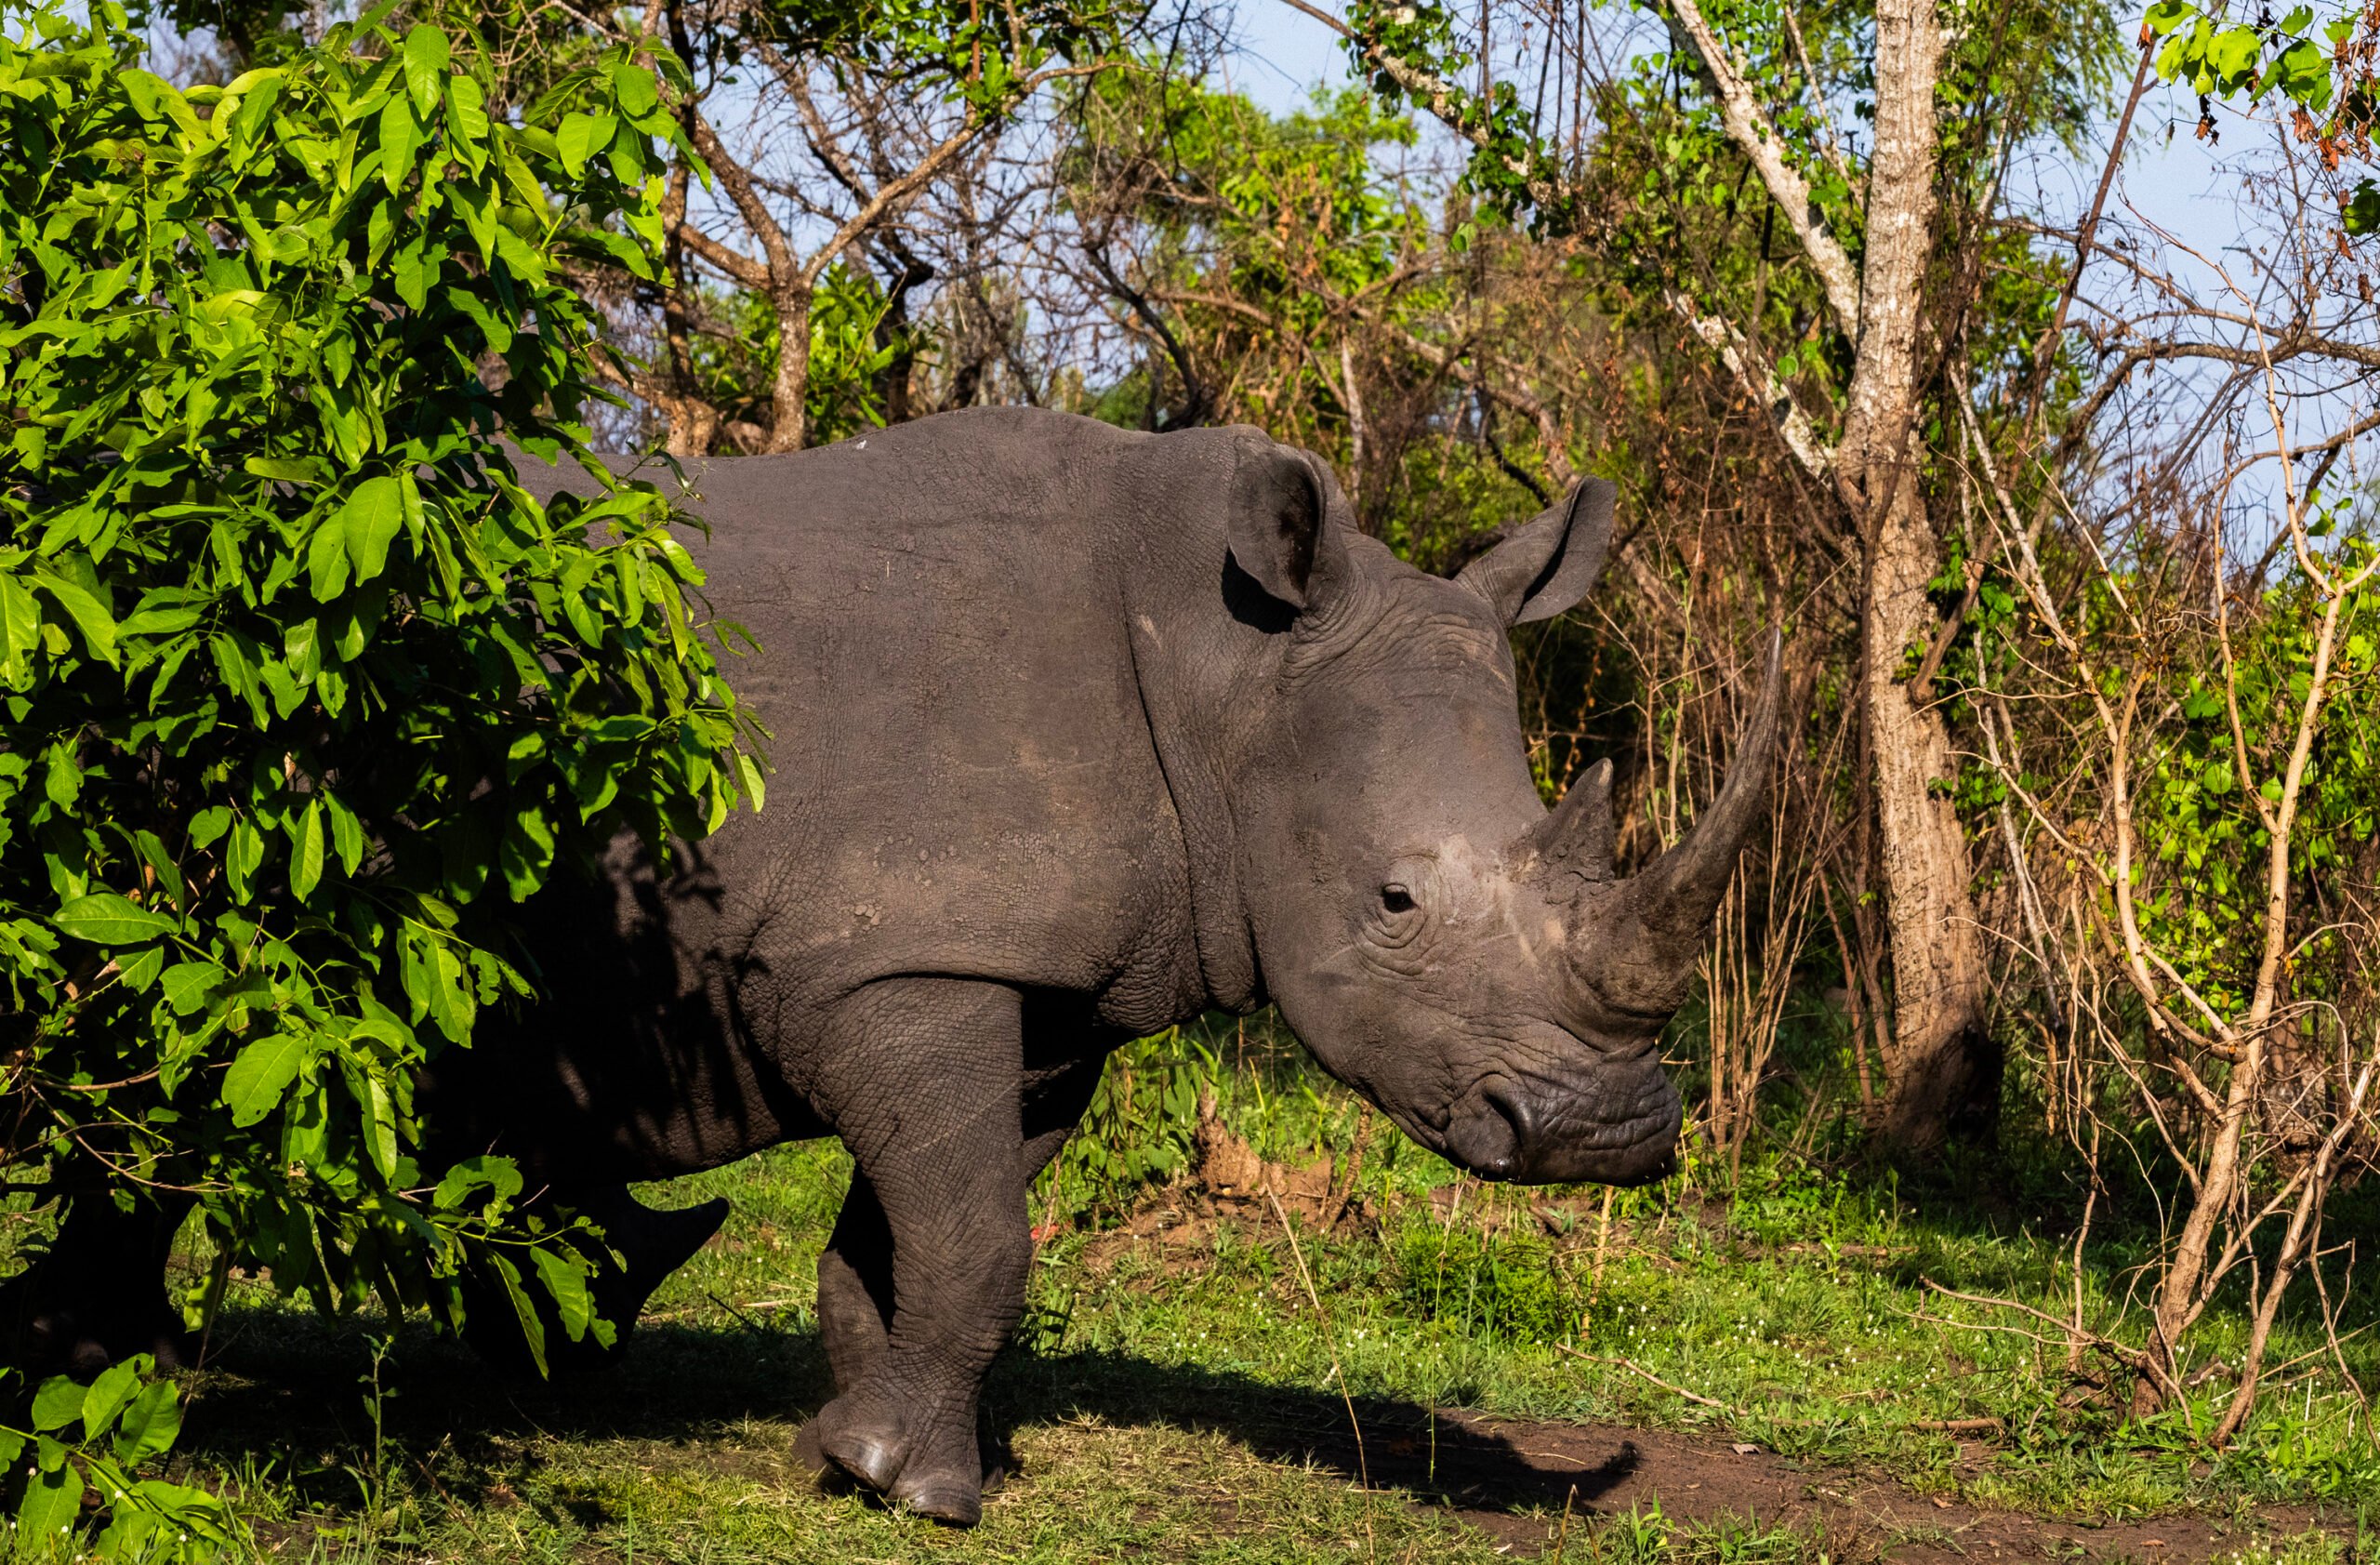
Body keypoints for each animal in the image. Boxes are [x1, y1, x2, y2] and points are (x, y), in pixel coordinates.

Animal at [14, 407, 1778, 1526]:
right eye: (1396, 899)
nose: (1610, 1132)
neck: (1229, 679)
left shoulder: (1031, 976)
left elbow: (918, 1224)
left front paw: (857, 1445)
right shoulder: (899, 955)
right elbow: (974, 1224)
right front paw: (918, 1487)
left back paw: (104, 1367)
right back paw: (116, 1380)